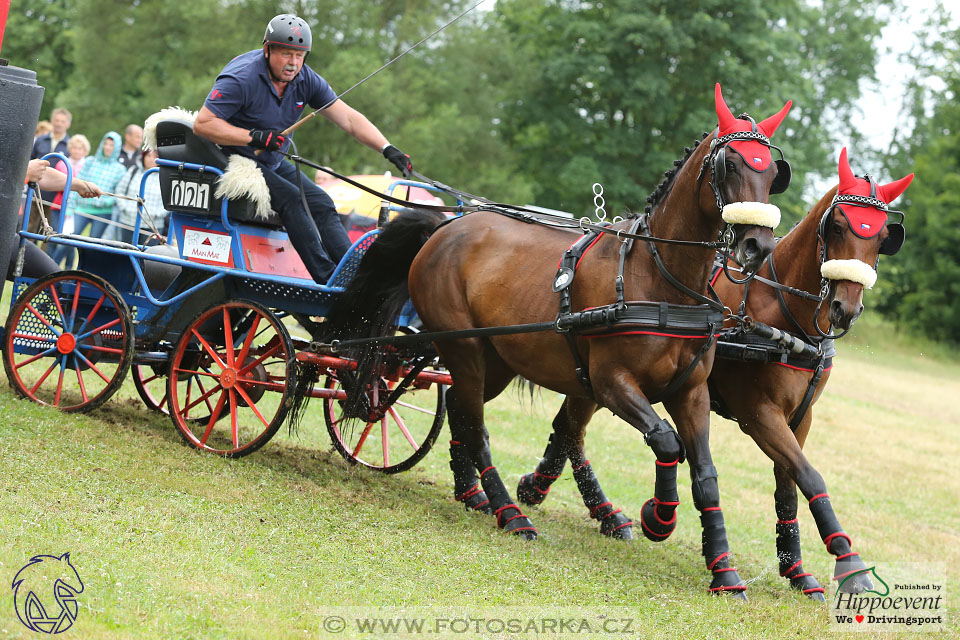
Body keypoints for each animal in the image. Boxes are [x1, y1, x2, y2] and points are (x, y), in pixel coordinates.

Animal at [320, 84, 788, 596]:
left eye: (772, 172)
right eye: (731, 165)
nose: (758, 247)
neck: (658, 276)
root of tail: (445, 226)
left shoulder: (690, 391)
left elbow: (704, 472)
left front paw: (722, 568)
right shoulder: (609, 383)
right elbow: (666, 442)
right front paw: (658, 517)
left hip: (493, 360)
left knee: (462, 411)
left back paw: (474, 495)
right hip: (465, 350)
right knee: (476, 426)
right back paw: (509, 513)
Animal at [516, 146, 916, 600]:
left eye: (882, 238)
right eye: (837, 225)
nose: (845, 308)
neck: (781, 315)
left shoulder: (800, 418)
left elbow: (789, 488)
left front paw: (796, 569)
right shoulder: (759, 415)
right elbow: (810, 477)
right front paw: (851, 565)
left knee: (568, 426)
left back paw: (563, 495)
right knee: (572, 427)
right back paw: (559, 494)